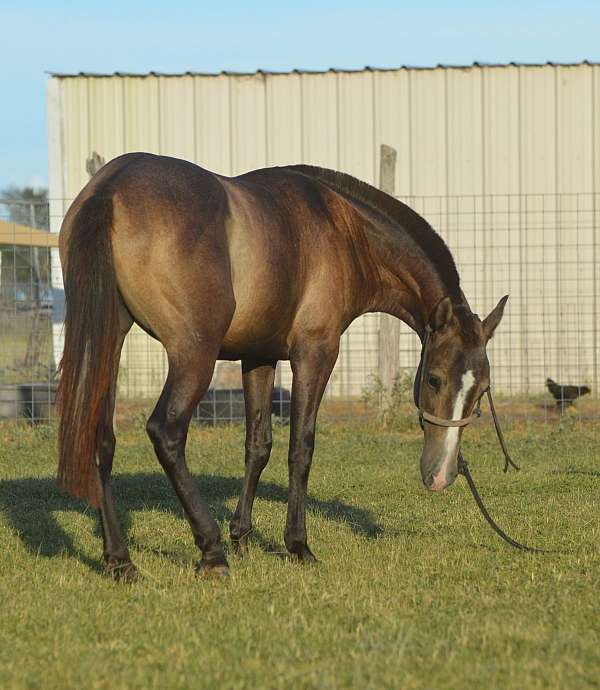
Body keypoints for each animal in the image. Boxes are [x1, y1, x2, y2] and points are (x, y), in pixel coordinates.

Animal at [55, 153, 506, 576]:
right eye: (434, 379)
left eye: (481, 391)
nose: (440, 475)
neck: (344, 228)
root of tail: (110, 189)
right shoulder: (315, 354)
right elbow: (300, 448)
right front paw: (297, 545)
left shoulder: (259, 357)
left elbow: (258, 445)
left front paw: (242, 535)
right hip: (193, 354)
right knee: (166, 432)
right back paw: (211, 552)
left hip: (108, 341)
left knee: (101, 439)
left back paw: (121, 560)